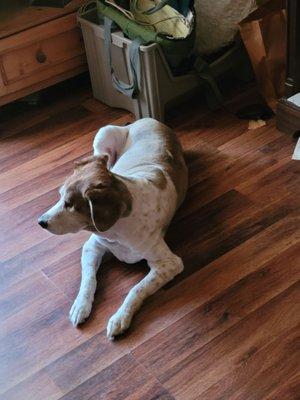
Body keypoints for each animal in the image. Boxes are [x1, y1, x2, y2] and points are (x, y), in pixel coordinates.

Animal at [37, 117, 188, 340]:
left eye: (70, 204)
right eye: (60, 196)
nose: (40, 221)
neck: (117, 231)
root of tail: (149, 119)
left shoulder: (169, 264)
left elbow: (137, 289)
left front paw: (120, 318)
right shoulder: (92, 246)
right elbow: (88, 280)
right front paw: (81, 306)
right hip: (103, 136)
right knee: (103, 160)